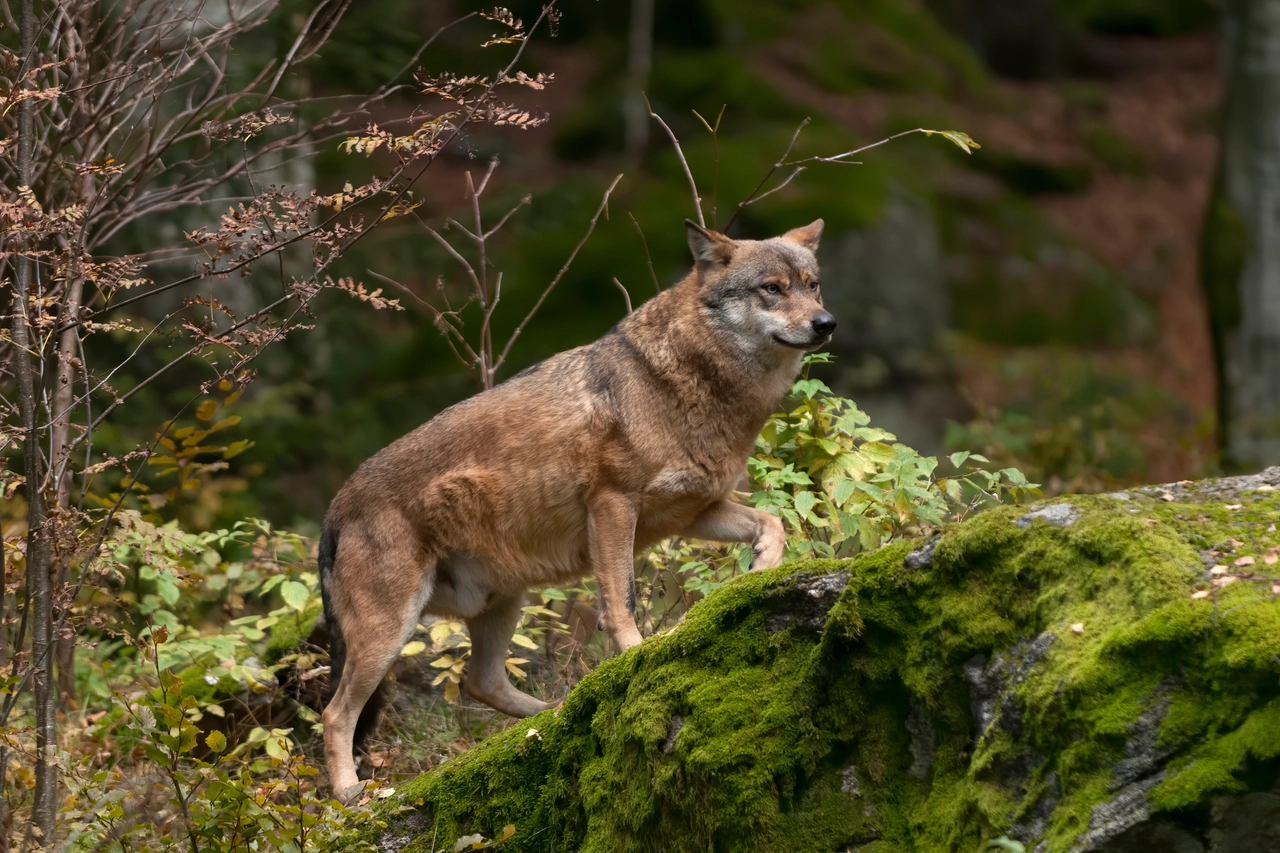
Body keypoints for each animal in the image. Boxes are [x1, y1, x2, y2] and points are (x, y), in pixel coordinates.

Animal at [320, 217, 829, 788]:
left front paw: (760, 570)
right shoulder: (612, 505)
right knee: (335, 713)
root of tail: (333, 511)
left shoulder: (695, 512)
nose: (826, 323)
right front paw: (637, 656)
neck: (689, 381)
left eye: (812, 285)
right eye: (772, 289)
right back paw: (351, 792)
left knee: (480, 682)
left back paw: (553, 714)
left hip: (501, 605)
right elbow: (621, 601)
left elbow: (773, 522)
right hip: (390, 634)